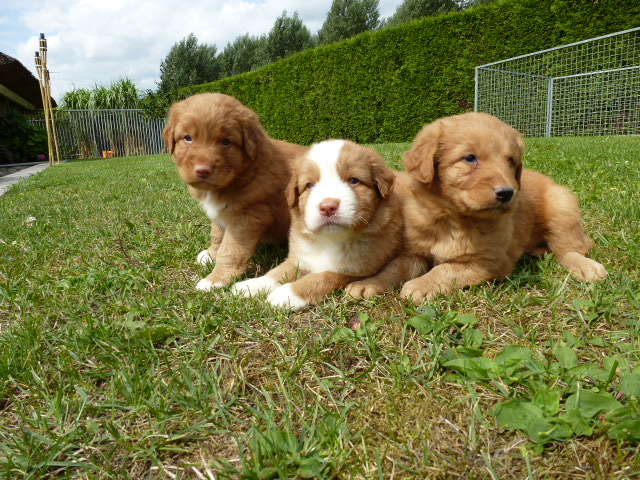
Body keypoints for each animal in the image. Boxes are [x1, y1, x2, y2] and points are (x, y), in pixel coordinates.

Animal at [162, 93, 307, 290]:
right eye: (188, 138)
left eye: (226, 142)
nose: (203, 170)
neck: (244, 173)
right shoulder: (222, 214)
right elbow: (217, 234)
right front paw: (210, 254)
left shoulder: (250, 216)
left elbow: (230, 250)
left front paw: (215, 279)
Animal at [231, 139, 403, 311]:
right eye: (309, 185)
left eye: (354, 180)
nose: (328, 207)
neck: (329, 240)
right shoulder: (300, 257)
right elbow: (279, 271)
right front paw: (252, 285)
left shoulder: (358, 269)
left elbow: (321, 278)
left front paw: (286, 294)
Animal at [346, 112, 608, 304]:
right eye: (469, 158)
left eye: (511, 161)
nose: (507, 193)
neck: (453, 218)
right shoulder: (414, 251)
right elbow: (394, 267)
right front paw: (367, 284)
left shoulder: (490, 262)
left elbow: (447, 269)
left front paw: (421, 284)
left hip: (561, 205)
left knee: (570, 248)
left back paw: (586, 268)